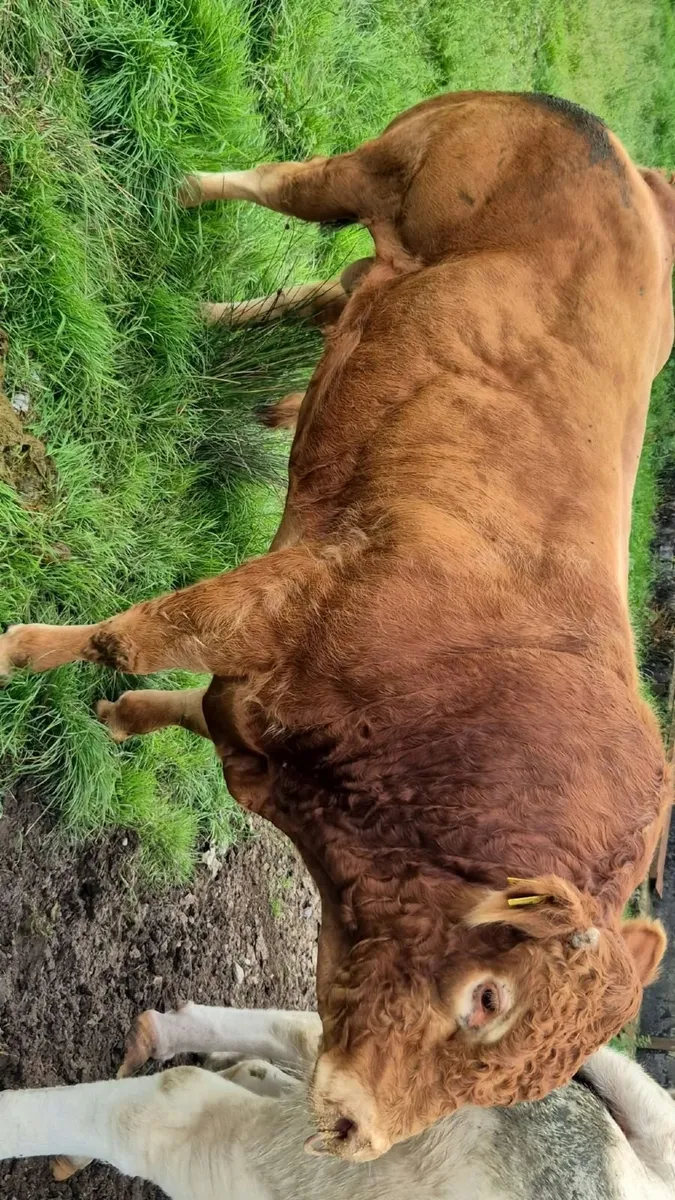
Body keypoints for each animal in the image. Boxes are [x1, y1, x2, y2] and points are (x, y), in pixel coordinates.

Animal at [1, 91, 673, 1160]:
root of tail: (629, 163)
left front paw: (120, 717)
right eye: (490, 999)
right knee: (285, 185)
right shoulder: (279, 599)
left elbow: (175, 696)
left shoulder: (259, 697)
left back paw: (205, 322)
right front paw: (18, 650)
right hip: (384, 168)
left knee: (324, 294)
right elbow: (135, 632)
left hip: (385, 269)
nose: (360, 1130)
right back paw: (185, 192)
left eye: (538, 1081)